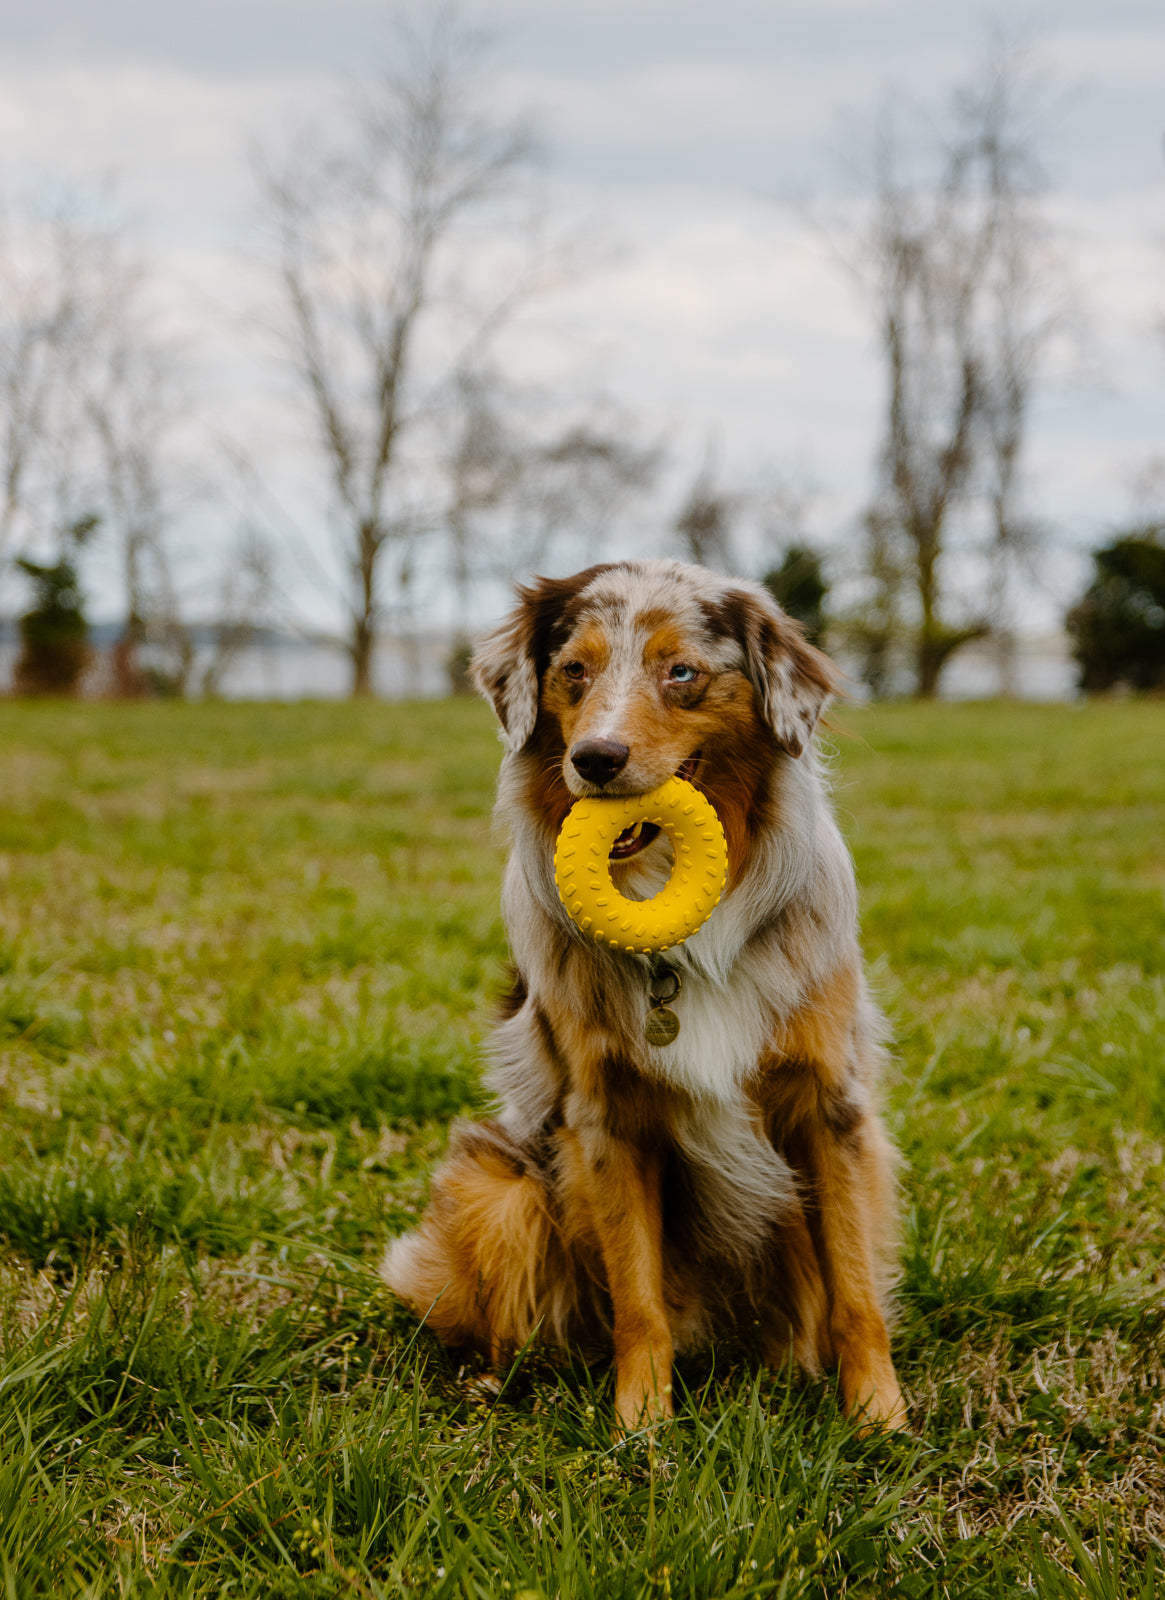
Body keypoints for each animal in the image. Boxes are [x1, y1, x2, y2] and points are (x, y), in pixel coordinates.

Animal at [384, 556, 908, 1433]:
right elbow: (638, 1299)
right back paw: (490, 1382)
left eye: (681, 673)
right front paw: (640, 1426)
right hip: (500, 1187)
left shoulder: (829, 1105)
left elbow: (855, 1285)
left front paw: (879, 1418)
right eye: (573, 670)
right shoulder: (607, 1118)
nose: (594, 758)